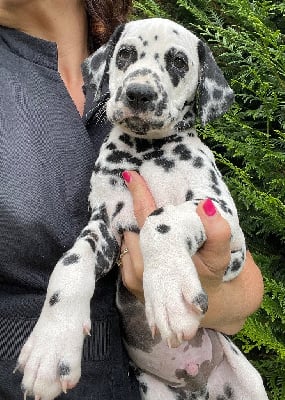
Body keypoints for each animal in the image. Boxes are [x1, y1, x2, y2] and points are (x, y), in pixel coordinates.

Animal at [17, 18, 266, 400]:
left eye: (178, 61)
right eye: (125, 54)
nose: (138, 93)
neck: (147, 151)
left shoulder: (225, 224)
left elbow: (161, 219)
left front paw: (168, 290)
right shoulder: (104, 224)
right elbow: (71, 263)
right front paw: (51, 346)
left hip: (249, 380)